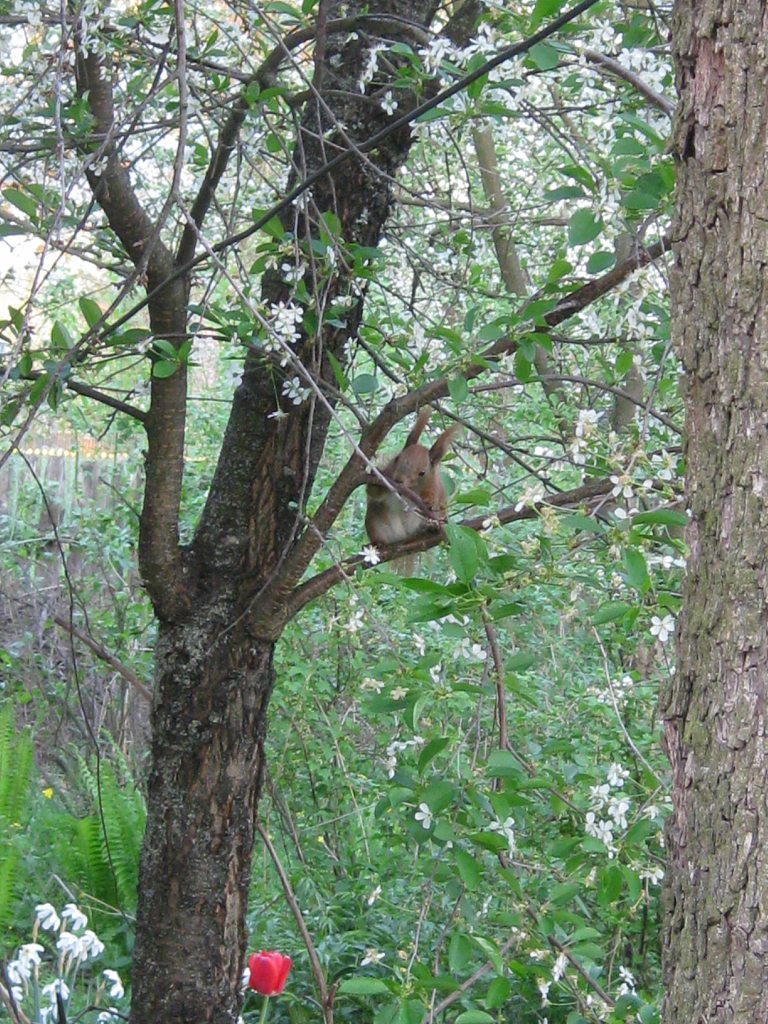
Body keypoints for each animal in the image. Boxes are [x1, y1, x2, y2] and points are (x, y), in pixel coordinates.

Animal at [364, 409, 460, 552]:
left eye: (422, 473)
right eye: (397, 458)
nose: (398, 480)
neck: (410, 489)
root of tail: (402, 538)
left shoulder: (434, 486)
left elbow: (433, 497)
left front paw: (428, 501)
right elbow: (375, 493)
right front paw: (376, 476)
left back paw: (431, 528)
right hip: (374, 522)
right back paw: (378, 543)